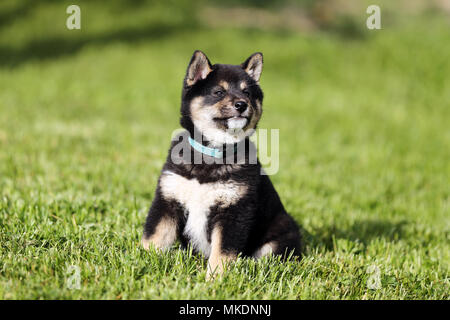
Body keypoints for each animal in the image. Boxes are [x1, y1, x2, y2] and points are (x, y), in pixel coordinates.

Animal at [142, 50, 300, 278]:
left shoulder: (234, 211)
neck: (213, 154)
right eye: (218, 92)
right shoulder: (168, 200)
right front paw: (143, 262)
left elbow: (222, 253)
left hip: (281, 233)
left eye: (248, 93)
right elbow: (154, 238)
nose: (242, 104)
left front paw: (215, 279)